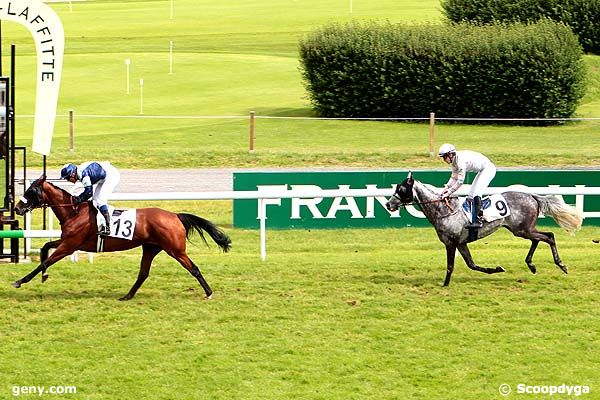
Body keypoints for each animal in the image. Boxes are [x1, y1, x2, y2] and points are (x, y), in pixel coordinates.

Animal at [13, 177, 232, 298]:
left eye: (31, 190)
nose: (17, 208)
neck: (74, 211)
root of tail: (175, 215)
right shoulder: (68, 242)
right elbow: (45, 248)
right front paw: (43, 276)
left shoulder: (69, 246)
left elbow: (45, 261)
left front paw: (20, 281)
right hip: (151, 248)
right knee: (143, 273)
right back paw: (127, 296)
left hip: (175, 250)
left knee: (193, 268)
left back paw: (209, 292)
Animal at [386, 171, 584, 284]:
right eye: (396, 188)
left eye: (402, 190)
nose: (388, 204)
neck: (444, 211)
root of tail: (533, 196)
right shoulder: (461, 243)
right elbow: (472, 265)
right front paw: (496, 269)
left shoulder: (451, 243)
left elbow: (450, 266)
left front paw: (445, 284)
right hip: (522, 230)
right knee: (539, 238)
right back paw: (531, 265)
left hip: (522, 229)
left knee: (549, 236)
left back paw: (561, 264)